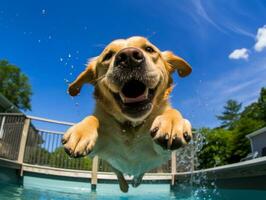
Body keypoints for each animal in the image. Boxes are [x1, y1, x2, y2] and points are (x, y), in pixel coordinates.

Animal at [61, 36, 192, 192]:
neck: (132, 126)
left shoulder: (163, 151)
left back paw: (136, 181)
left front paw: (171, 123)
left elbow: (172, 112)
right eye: (108, 56)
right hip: (110, 163)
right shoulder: (97, 151)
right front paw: (82, 132)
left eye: (149, 49)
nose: (129, 57)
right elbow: (93, 117)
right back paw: (125, 186)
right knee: (118, 173)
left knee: (140, 173)